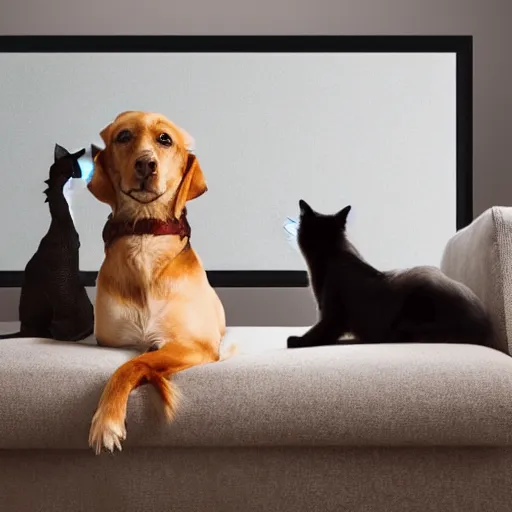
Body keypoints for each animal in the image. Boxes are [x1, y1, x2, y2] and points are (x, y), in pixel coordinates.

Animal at [87, 110, 227, 454]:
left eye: (165, 139)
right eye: (123, 136)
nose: (145, 164)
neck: (145, 234)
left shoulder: (195, 343)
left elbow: (132, 365)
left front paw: (106, 421)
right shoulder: (113, 342)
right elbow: (135, 359)